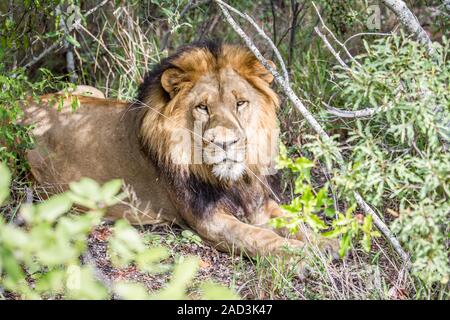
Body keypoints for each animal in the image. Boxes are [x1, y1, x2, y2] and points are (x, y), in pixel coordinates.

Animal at [21, 40, 338, 260]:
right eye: (202, 107)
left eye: (240, 103)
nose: (224, 142)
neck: (233, 181)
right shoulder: (209, 220)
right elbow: (258, 237)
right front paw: (300, 256)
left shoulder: (259, 204)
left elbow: (295, 221)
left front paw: (326, 243)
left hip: (87, 90)